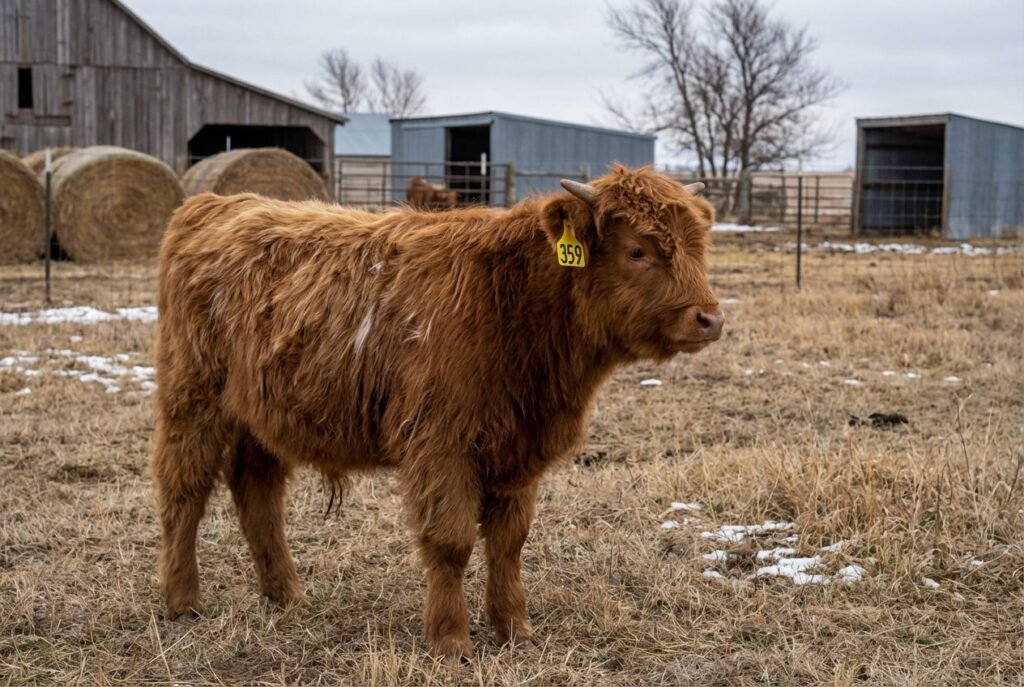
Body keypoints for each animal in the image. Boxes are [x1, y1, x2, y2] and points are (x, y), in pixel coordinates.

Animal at [152, 165, 724, 659]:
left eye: (699, 246)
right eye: (637, 250)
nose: (710, 319)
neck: (511, 304)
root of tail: (217, 203)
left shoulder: (518, 449)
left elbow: (509, 542)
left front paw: (515, 629)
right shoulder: (441, 443)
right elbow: (451, 541)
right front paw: (451, 640)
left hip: (262, 414)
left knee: (257, 491)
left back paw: (286, 593)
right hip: (193, 396)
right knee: (184, 488)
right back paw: (183, 600)